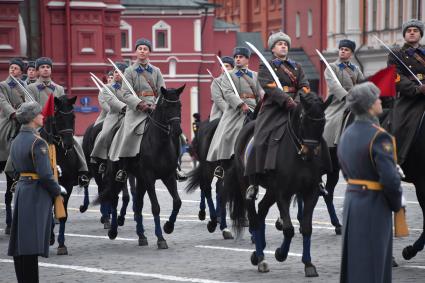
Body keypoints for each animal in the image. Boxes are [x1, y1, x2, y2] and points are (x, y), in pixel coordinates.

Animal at [38, 96, 80, 256]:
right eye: (59, 117)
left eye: (73, 116)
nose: (68, 144)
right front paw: (50, 238)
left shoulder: (67, 185)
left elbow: (64, 215)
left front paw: (62, 244)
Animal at [97, 85, 184, 250]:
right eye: (166, 106)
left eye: (179, 106)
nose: (177, 131)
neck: (159, 143)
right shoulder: (150, 178)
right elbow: (155, 207)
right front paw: (160, 238)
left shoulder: (168, 176)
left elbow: (177, 201)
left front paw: (168, 227)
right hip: (116, 175)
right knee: (114, 199)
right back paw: (113, 231)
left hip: (141, 179)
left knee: (138, 205)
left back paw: (141, 235)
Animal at [225, 93, 332, 278]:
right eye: (303, 118)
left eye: (323, 121)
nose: (310, 152)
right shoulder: (283, 193)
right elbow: (288, 229)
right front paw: (280, 253)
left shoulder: (311, 192)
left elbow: (306, 228)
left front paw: (308, 264)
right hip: (247, 185)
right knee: (254, 218)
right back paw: (261, 259)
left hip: (271, 191)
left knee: (261, 210)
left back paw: (258, 252)